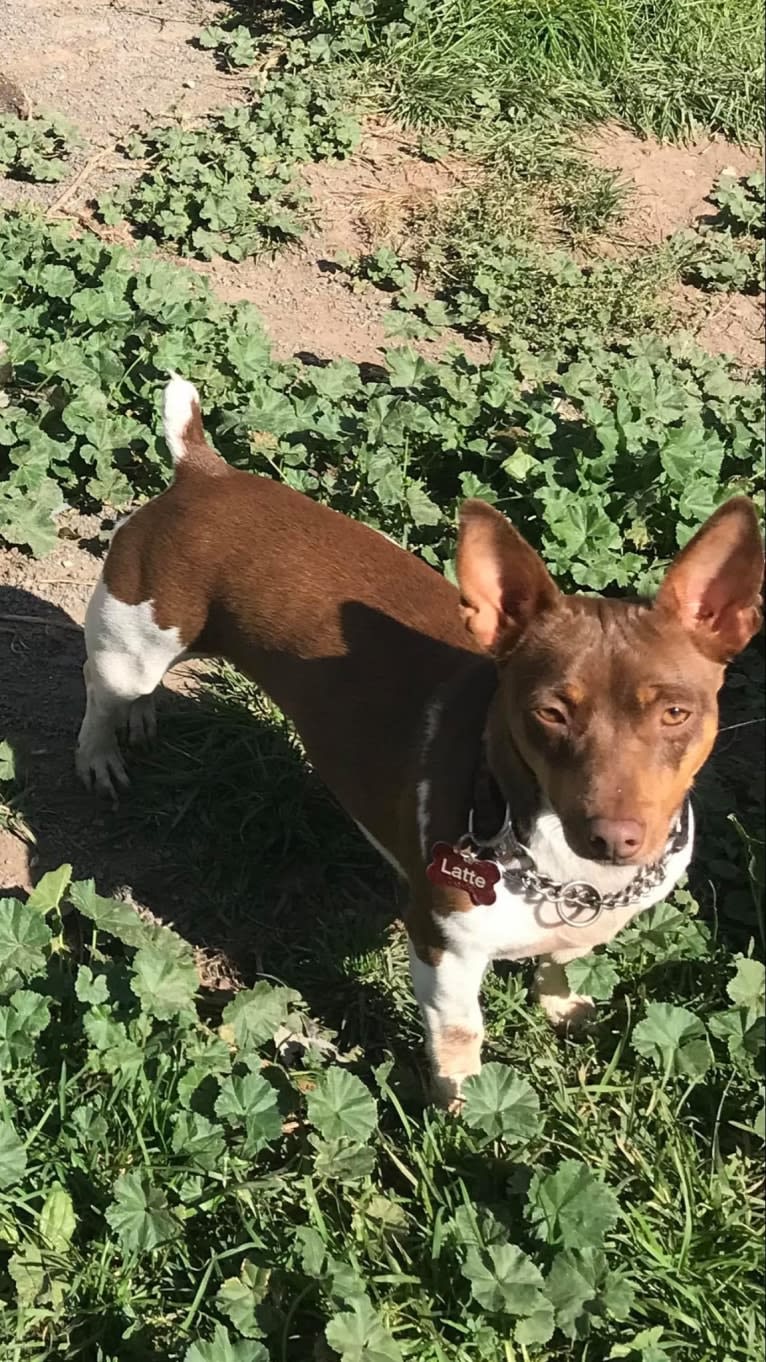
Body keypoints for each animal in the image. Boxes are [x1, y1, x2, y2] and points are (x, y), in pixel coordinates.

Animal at [74, 375, 757, 1105]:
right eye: (549, 713)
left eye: (676, 714)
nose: (614, 837)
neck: (564, 870)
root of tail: (204, 472)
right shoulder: (442, 948)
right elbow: (459, 1034)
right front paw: (467, 1110)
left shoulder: (589, 925)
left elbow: (561, 963)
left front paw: (560, 1006)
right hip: (130, 645)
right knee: (99, 691)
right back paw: (101, 756)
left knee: (135, 695)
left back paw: (141, 720)